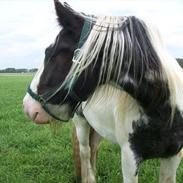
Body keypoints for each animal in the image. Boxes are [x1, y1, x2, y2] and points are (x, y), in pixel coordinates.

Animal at [22, 0, 183, 182]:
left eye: (51, 52)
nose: (28, 107)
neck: (163, 109)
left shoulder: (172, 156)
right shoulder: (129, 159)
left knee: (93, 149)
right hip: (81, 124)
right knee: (86, 152)